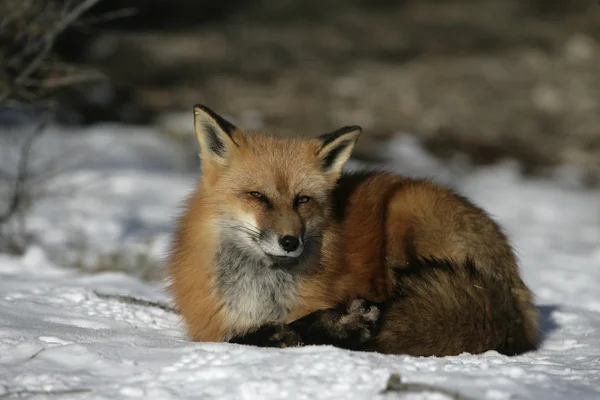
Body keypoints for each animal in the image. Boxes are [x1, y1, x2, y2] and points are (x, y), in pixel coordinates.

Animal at [168, 104, 540, 356]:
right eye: (257, 196)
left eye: (302, 200)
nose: (290, 241)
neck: (263, 295)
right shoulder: (212, 326)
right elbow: (239, 336)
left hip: (406, 209)